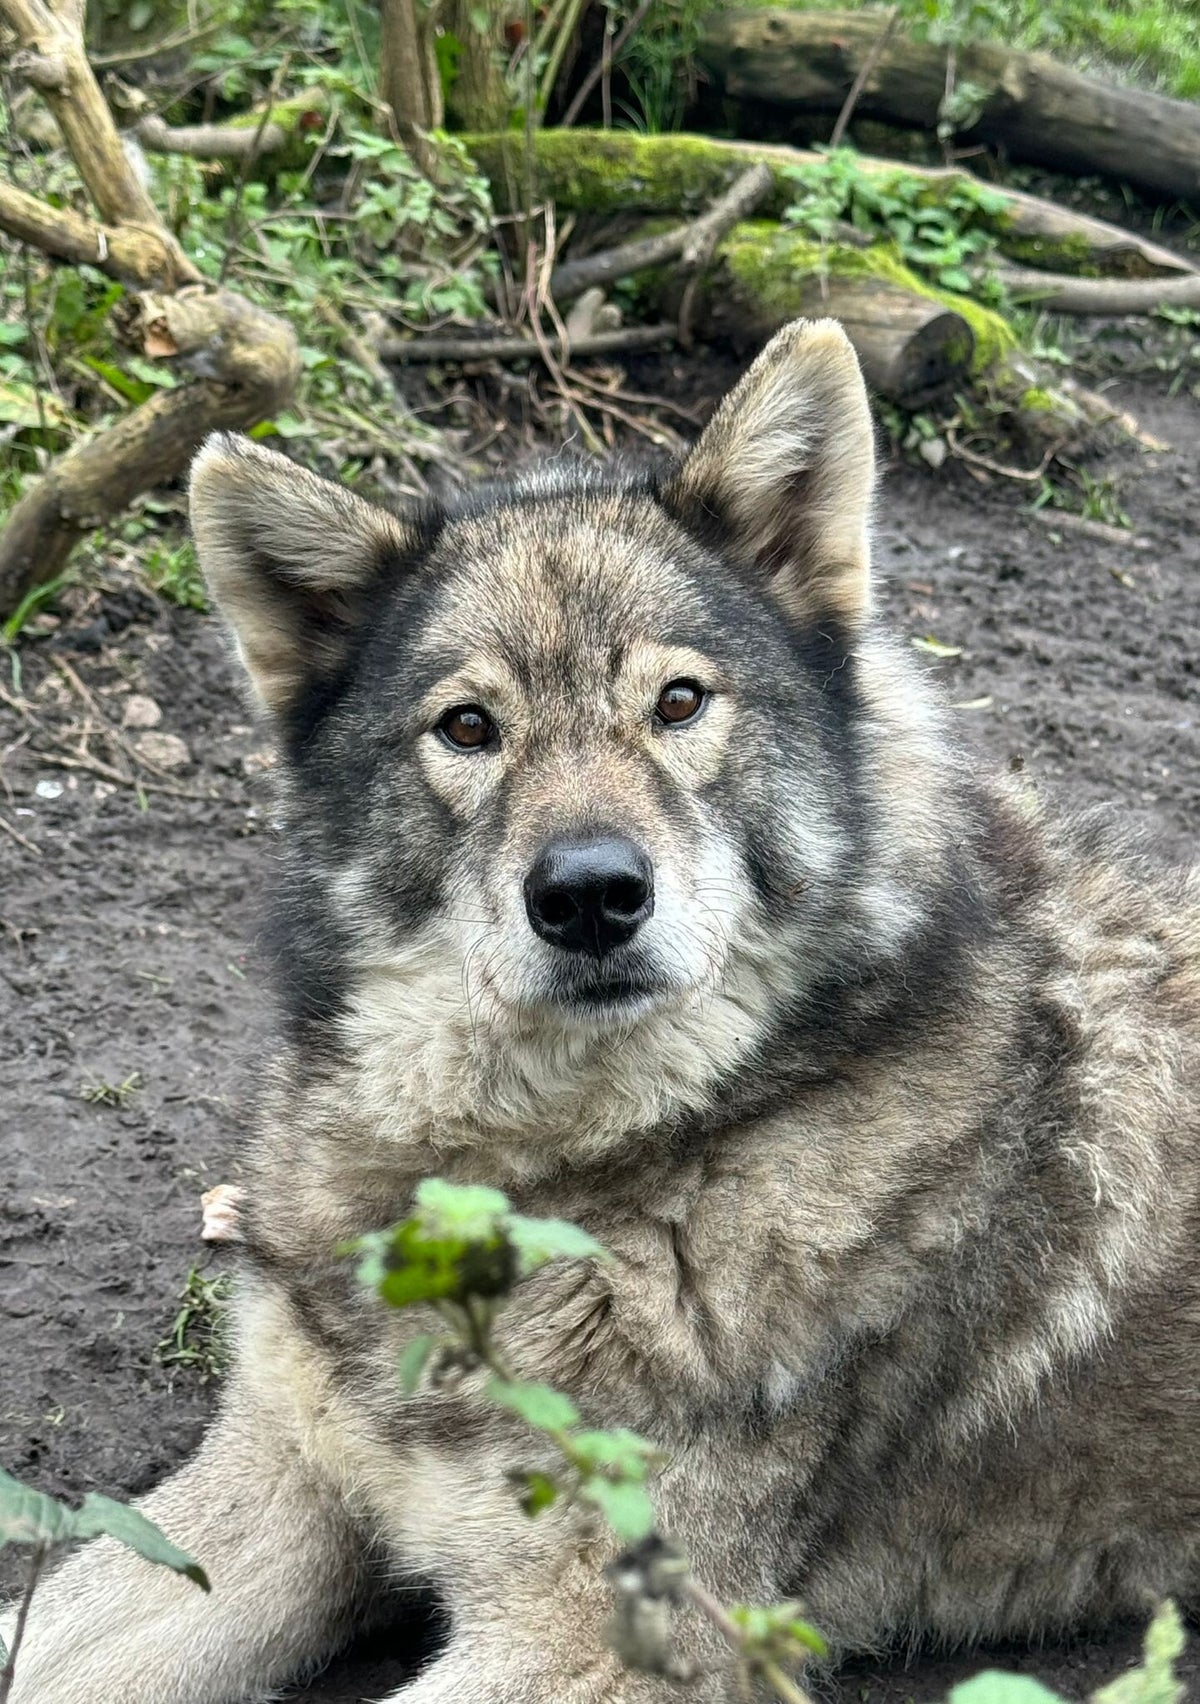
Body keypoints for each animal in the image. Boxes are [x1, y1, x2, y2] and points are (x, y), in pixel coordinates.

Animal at [5, 319, 1199, 1704]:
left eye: (678, 703)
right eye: (469, 728)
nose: (587, 896)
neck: (544, 1176)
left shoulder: (596, 1642)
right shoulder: (270, 1491)